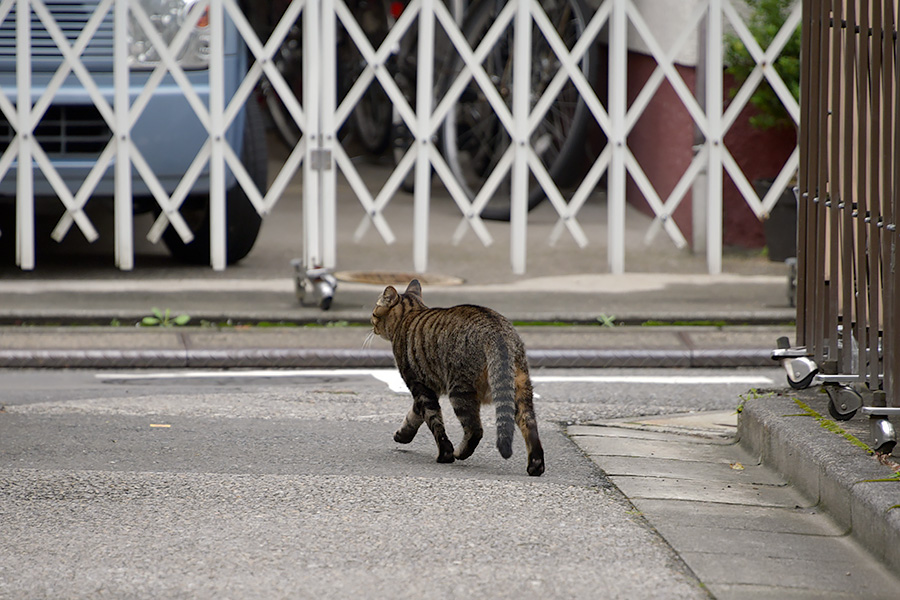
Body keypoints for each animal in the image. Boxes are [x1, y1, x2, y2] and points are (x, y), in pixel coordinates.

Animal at [370, 278, 544, 476]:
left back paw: (459, 452)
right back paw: (536, 465)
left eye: (374, 311)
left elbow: (434, 421)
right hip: (520, 389)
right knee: (529, 423)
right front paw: (402, 435)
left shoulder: (420, 386)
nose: (371, 322)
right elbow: (414, 415)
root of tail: (497, 331)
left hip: (460, 390)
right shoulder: (428, 387)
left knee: (475, 430)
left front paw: (445, 454)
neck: (410, 313)